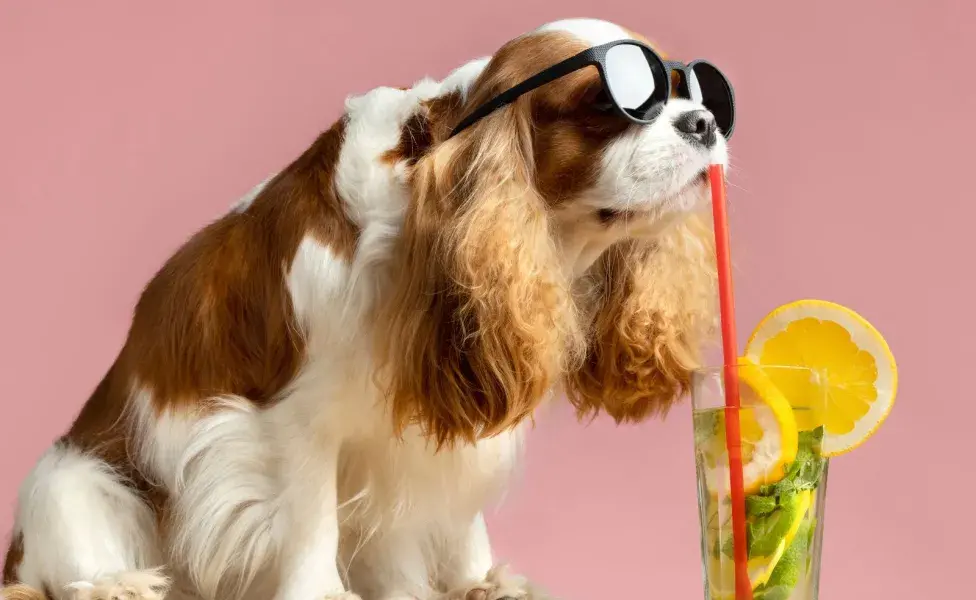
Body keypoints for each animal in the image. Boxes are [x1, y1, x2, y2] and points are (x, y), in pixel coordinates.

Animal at [1, 16, 724, 600]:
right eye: (613, 101)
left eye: (692, 93)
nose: (705, 122)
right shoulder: (293, 421)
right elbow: (311, 517)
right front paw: (322, 592)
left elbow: (459, 515)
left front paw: (478, 582)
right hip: (72, 480)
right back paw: (115, 583)